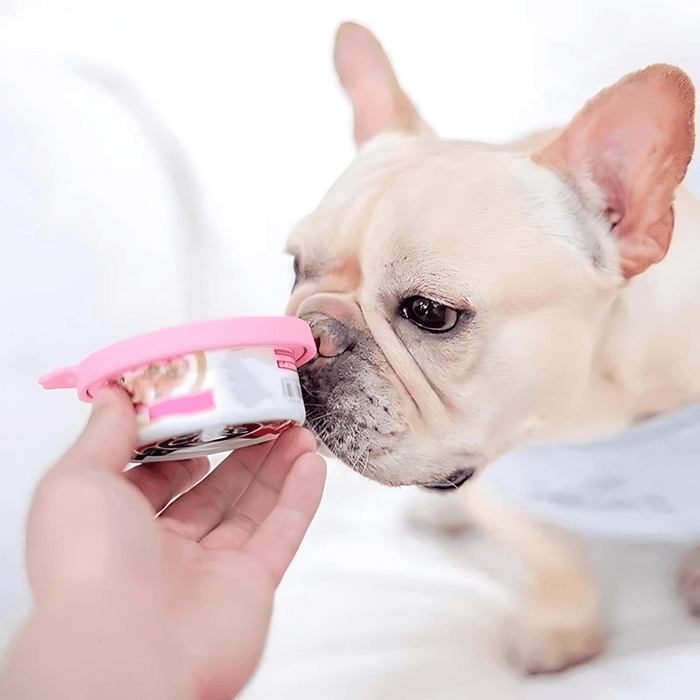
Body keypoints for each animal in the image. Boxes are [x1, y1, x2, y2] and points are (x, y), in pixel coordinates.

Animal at [286, 24, 700, 676]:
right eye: (295, 268)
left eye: (430, 313)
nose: (310, 334)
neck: (583, 410)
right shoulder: (491, 475)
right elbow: (550, 551)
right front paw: (563, 623)